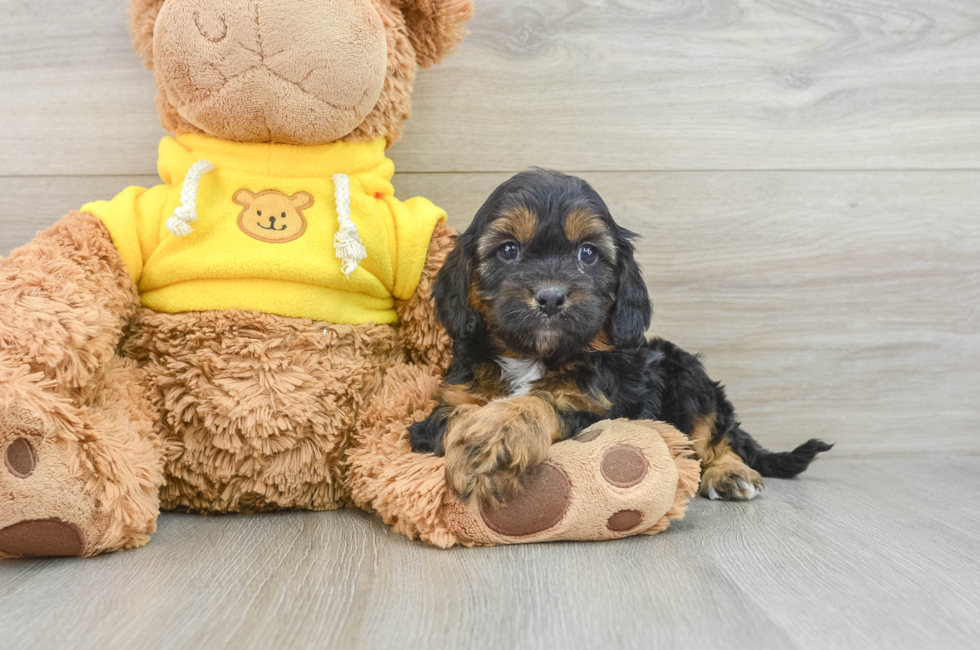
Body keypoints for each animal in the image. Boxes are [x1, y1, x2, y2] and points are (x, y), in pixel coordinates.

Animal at [410, 167, 832, 502]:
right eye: (508, 250)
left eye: (587, 254)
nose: (550, 297)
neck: (534, 355)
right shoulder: (446, 404)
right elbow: (457, 413)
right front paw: (482, 433)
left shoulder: (604, 407)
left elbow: (544, 402)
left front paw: (501, 430)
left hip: (687, 375)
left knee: (716, 436)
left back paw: (729, 472)